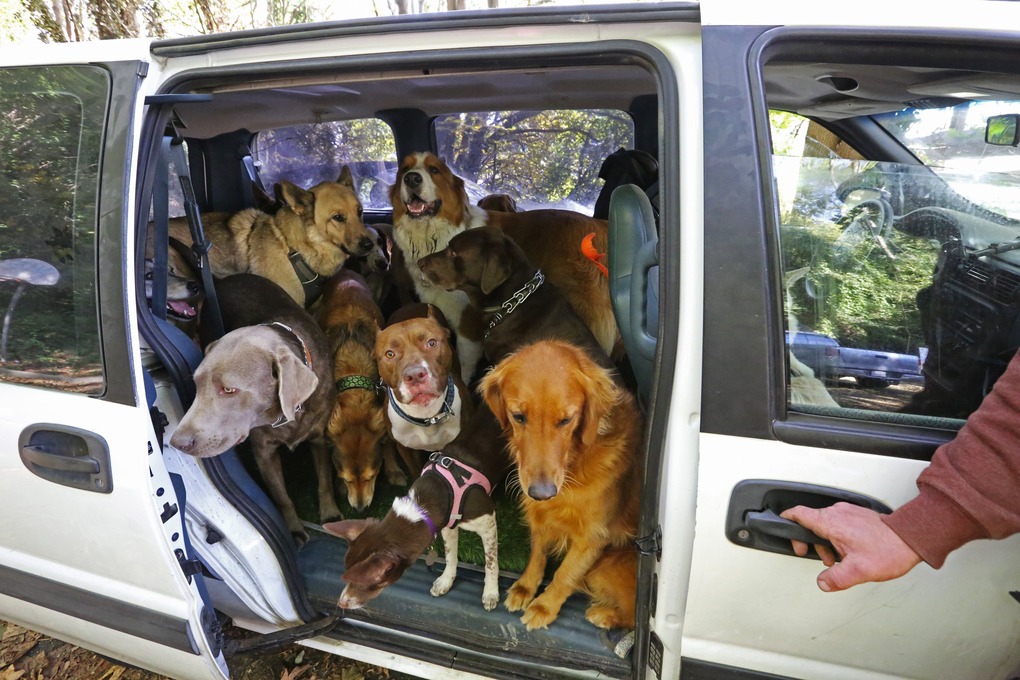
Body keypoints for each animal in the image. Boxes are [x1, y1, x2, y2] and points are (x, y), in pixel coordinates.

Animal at [389, 152, 620, 383]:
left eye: (434, 170)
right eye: (404, 169)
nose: (411, 178)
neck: (432, 235)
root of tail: (602, 227)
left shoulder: (469, 325)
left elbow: (464, 366)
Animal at [479, 340, 640, 632]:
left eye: (566, 420)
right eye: (518, 416)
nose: (542, 493)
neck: (574, 463)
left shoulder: (591, 538)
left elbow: (565, 574)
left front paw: (544, 606)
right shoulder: (541, 514)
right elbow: (538, 553)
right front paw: (525, 587)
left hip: (604, 569)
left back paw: (604, 615)